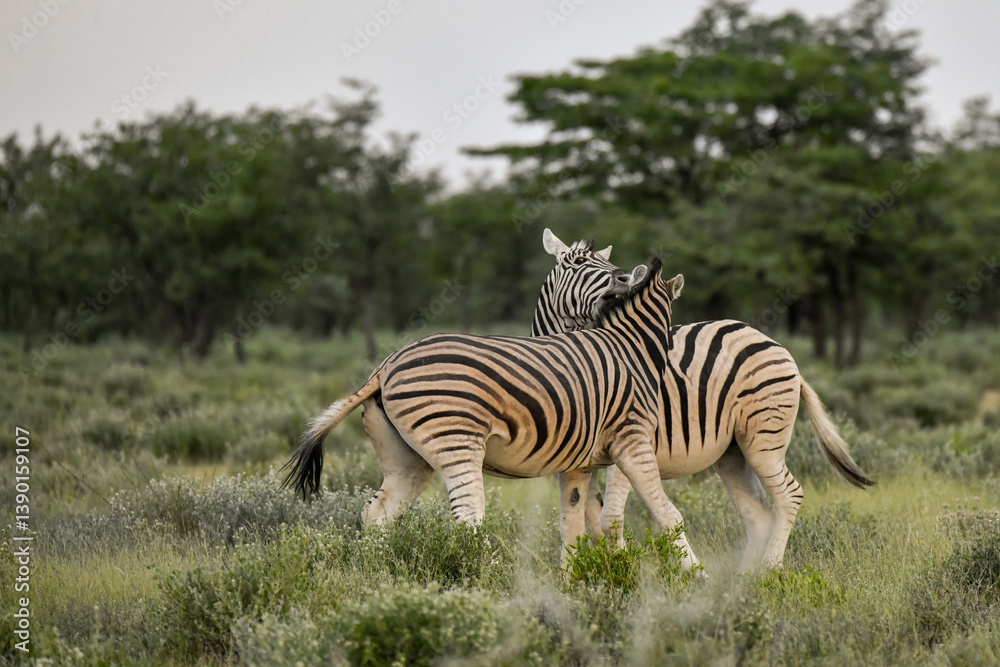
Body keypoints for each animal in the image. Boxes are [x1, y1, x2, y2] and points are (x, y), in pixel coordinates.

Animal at [536, 249, 874, 571]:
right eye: (577, 262)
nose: (621, 281)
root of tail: (776, 345)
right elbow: (582, 519)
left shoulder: (629, 443)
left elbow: (609, 518)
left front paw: (621, 572)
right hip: (733, 452)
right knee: (758, 512)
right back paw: (745, 580)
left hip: (763, 439)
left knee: (790, 495)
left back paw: (770, 569)